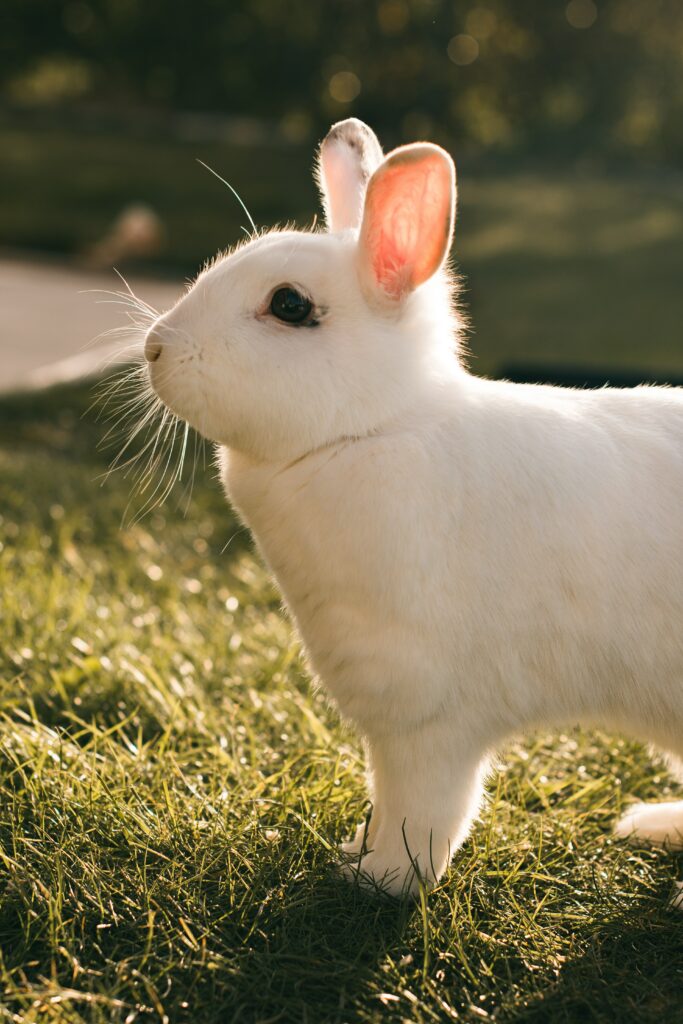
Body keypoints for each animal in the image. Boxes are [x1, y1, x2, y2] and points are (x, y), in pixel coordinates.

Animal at [143, 117, 683, 897]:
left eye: (289, 305)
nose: (154, 349)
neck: (371, 429)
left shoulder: (429, 722)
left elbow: (421, 813)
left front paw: (378, 879)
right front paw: (354, 853)